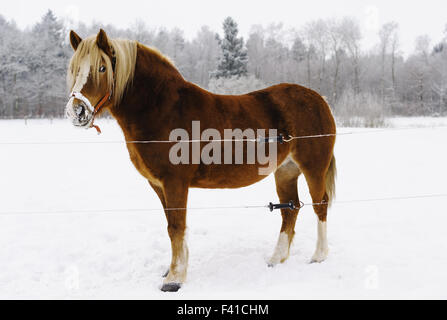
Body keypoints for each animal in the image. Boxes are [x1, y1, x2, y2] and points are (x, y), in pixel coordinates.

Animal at [65, 28, 336, 292]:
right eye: (75, 68)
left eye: (101, 68)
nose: (77, 111)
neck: (163, 109)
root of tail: (319, 100)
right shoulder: (159, 185)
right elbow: (173, 225)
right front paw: (174, 270)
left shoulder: (175, 182)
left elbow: (176, 226)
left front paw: (173, 279)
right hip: (285, 171)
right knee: (290, 209)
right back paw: (276, 259)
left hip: (313, 168)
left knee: (320, 204)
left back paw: (318, 256)